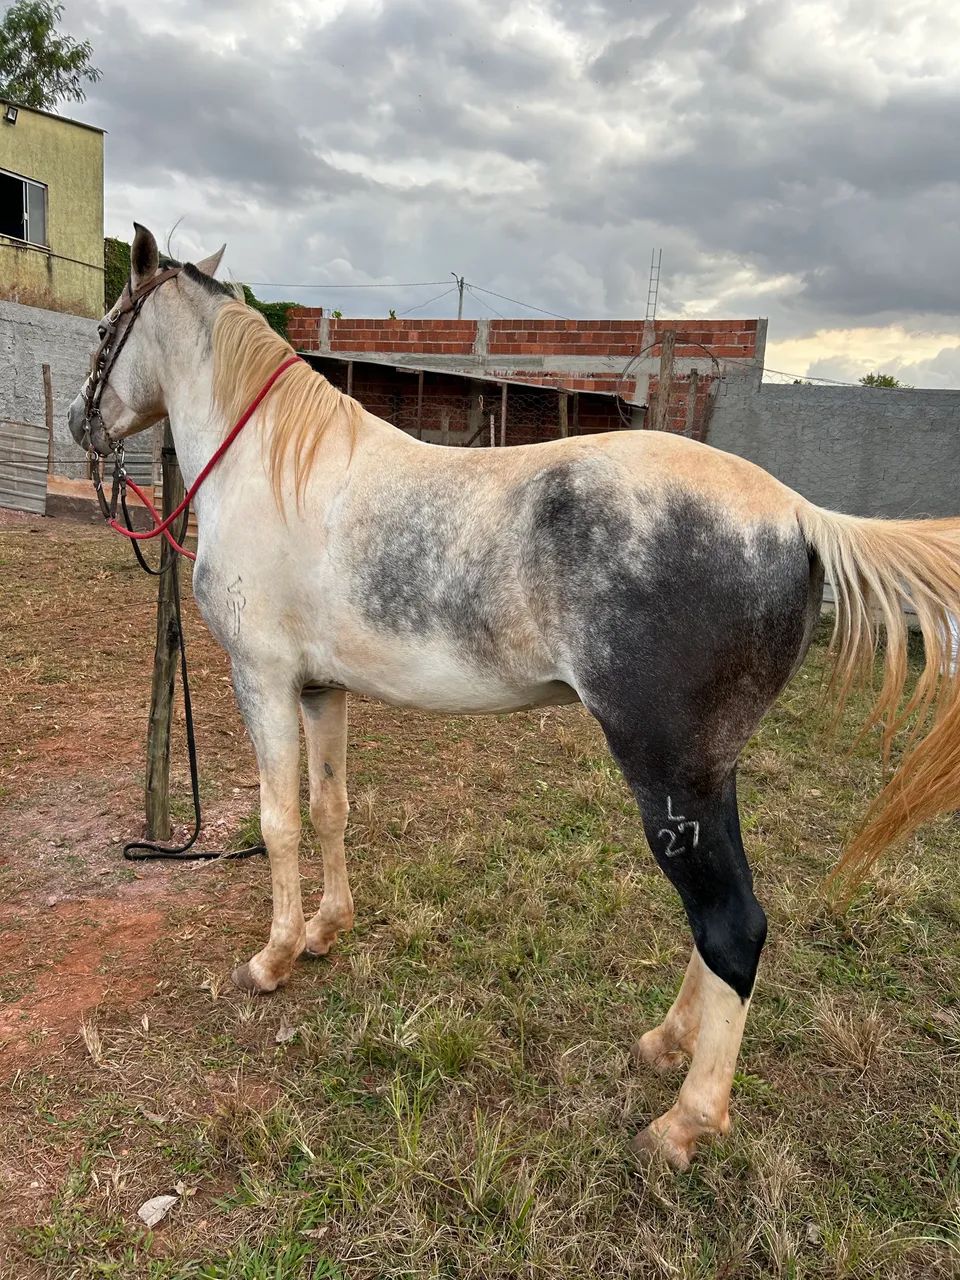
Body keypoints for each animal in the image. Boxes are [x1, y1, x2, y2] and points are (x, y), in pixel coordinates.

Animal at [68, 225, 960, 1170]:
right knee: (716, 919)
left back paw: (683, 1122)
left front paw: (270, 960)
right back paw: (664, 1044)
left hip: (667, 773)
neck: (278, 466)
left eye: (106, 330)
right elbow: (329, 808)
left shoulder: (263, 680)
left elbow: (277, 823)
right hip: (710, 776)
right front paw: (324, 931)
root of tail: (793, 513)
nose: (80, 423)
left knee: (731, 924)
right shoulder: (320, 691)